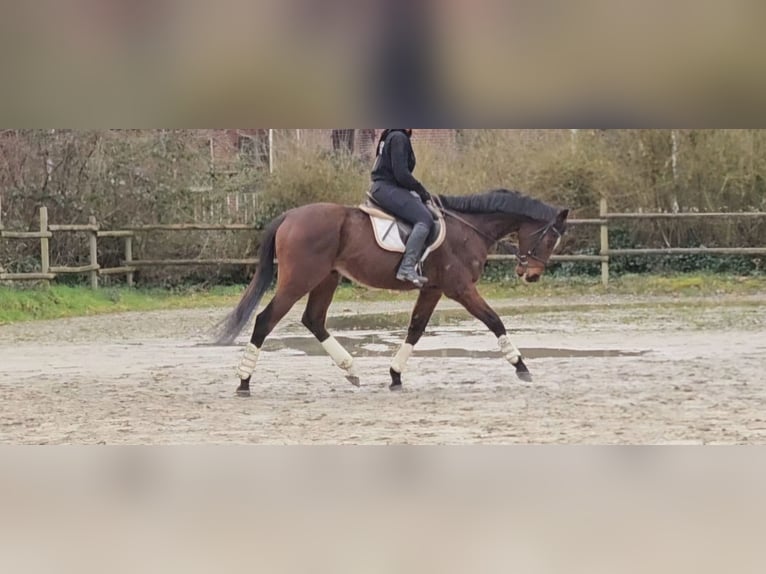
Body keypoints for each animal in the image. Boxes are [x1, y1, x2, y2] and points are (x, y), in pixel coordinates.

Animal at [213, 189, 568, 396]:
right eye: (551, 238)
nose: (531, 275)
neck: (468, 229)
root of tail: (290, 216)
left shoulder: (434, 289)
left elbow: (416, 328)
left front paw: (395, 375)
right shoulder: (460, 288)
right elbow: (495, 321)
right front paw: (521, 366)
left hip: (327, 279)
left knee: (313, 319)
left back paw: (351, 370)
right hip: (299, 279)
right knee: (265, 320)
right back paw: (244, 381)